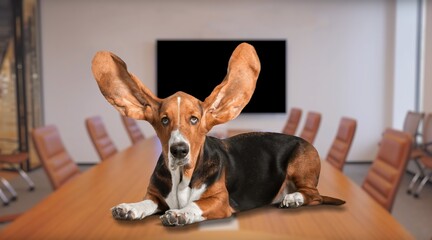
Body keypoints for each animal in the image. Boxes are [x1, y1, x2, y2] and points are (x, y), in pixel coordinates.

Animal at [91, 42, 344, 226]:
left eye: (194, 119)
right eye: (164, 120)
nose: (179, 150)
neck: (181, 177)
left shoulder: (220, 201)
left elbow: (195, 205)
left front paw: (179, 214)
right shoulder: (155, 197)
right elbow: (145, 203)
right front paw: (129, 208)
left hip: (301, 169)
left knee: (313, 195)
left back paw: (293, 199)